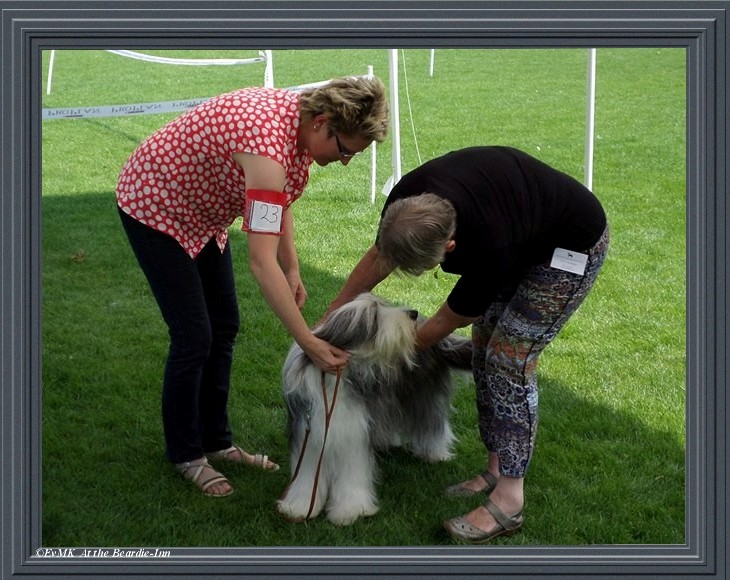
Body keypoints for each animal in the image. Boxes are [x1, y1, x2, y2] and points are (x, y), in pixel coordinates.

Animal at [276, 294, 470, 524]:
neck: (334, 383)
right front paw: (300, 507)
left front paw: (351, 511)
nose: (413, 314)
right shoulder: (310, 434)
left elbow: (351, 474)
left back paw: (435, 454)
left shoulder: (352, 435)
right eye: (375, 316)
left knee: (432, 423)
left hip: (422, 395)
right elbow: (307, 475)